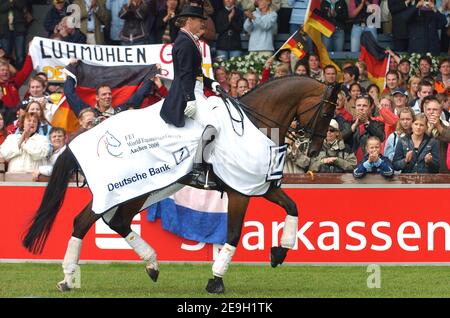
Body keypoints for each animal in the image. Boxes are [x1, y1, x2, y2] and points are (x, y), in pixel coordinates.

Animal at [21, 76, 338, 294]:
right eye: (325, 113)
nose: (313, 151)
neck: (252, 123)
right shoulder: (241, 191)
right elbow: (234, 234)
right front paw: (216, 280)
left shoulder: (260, 186)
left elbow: (293, 207)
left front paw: (279, 252)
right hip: (131, 189)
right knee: (97, 221)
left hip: (134, 191)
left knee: (101, 221)